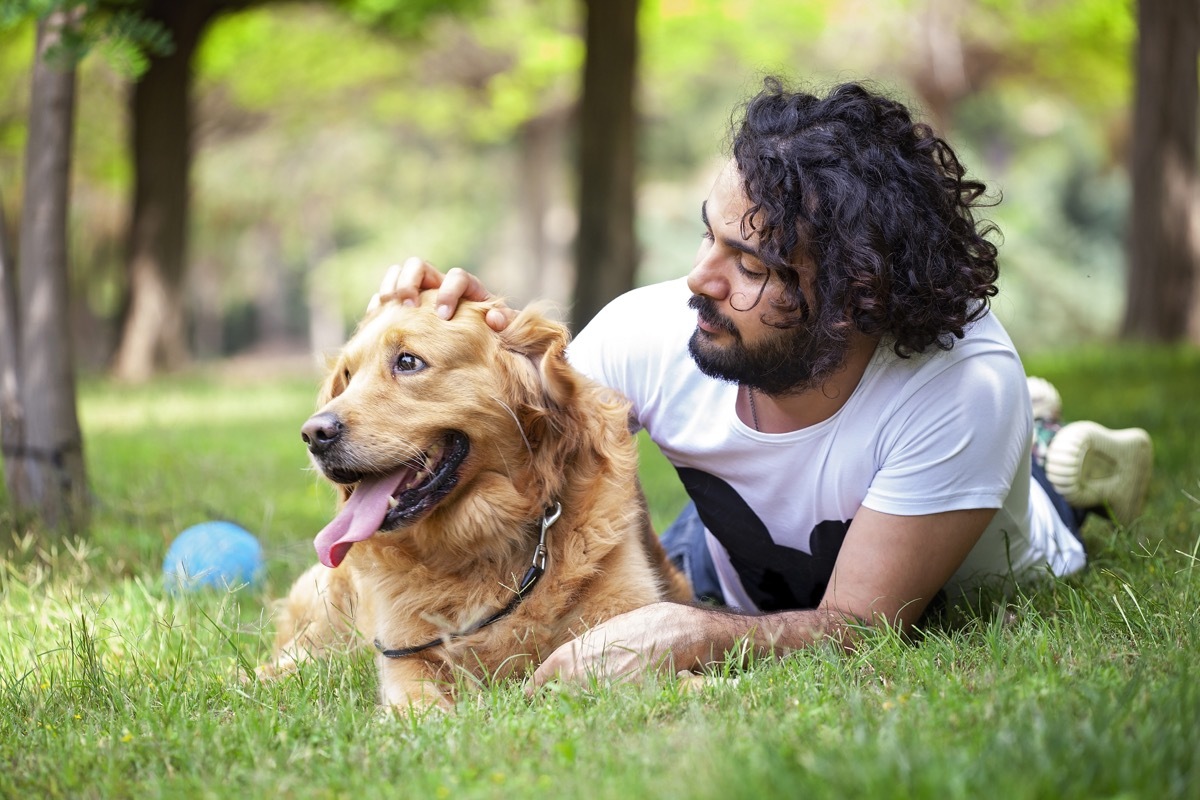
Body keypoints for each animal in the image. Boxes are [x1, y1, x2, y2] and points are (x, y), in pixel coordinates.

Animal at [260, 291, 696, 710]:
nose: (313, 434)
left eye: (408, 361)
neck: (480, 543)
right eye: (347, 377)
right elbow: (417, 701)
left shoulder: (625, 613)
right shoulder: (403, 650)